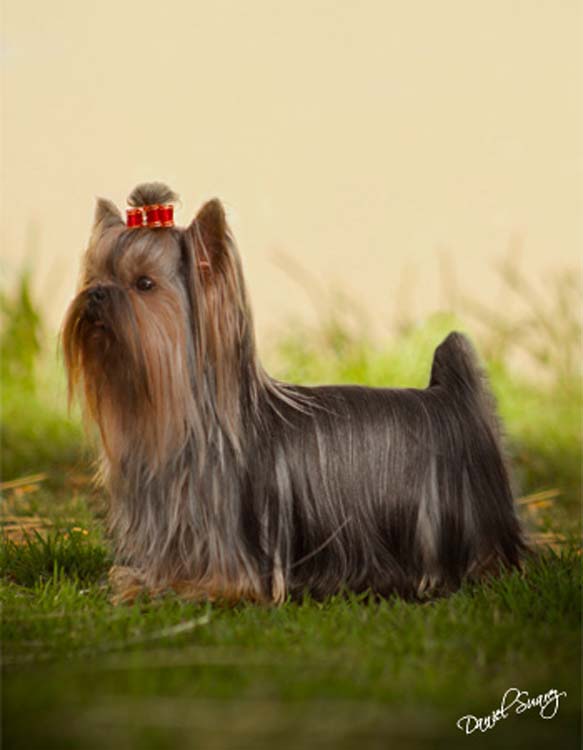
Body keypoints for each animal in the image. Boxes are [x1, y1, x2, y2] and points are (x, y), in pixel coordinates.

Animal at [62, 182, 525, 604]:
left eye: (144, 284)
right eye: (96, 276)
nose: (94, 294)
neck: (190, 418)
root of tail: (452, 397)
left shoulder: (237, 566)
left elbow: (215, 586)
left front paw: (156, 588)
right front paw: (136, 581)